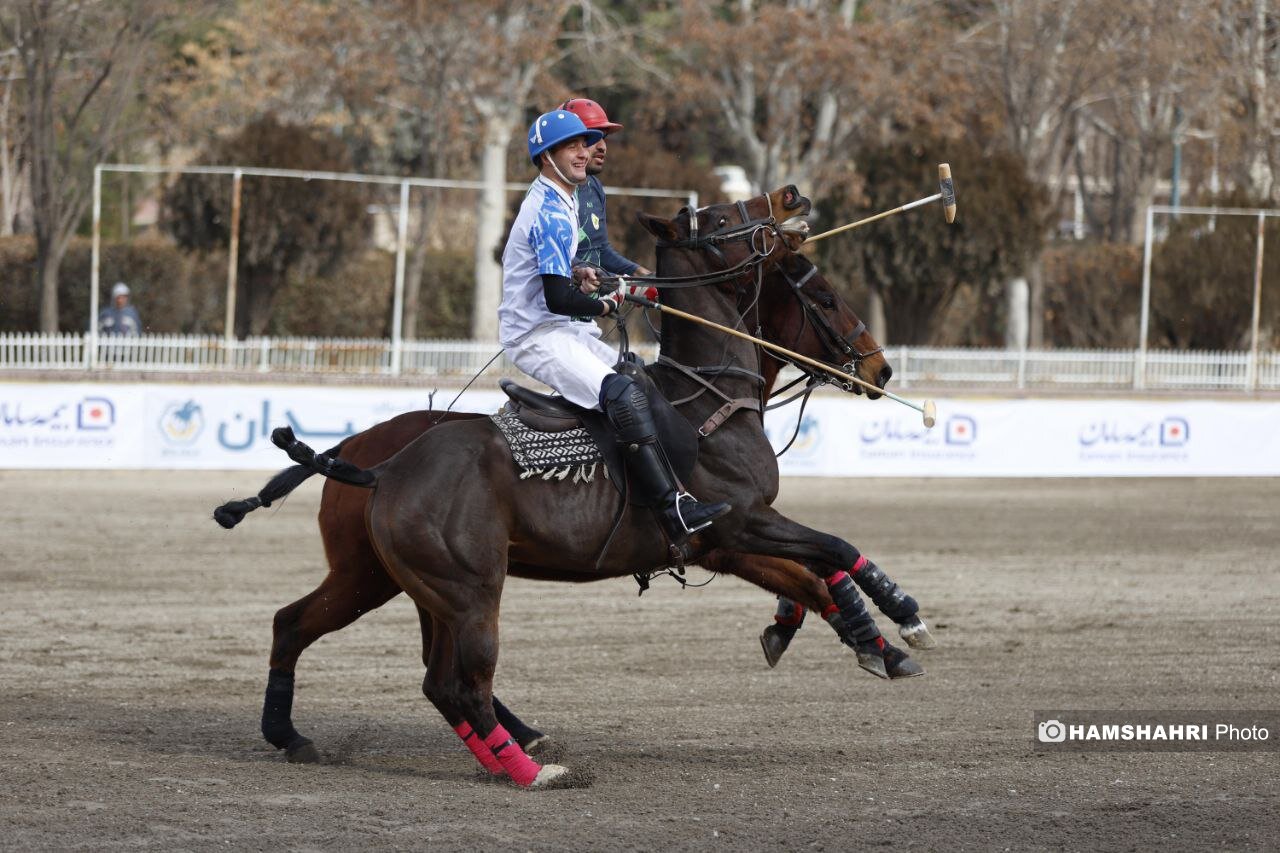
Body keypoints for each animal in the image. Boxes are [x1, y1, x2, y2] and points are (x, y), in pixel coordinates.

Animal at [241, 189, 931, 788]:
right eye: (825, 298)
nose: (880, 368)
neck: (708, 397)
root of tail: (374, 463)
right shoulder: (736, 521)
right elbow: (836, 549)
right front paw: (903, 618)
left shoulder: (725, 541)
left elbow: (812, 576)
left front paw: (864, 642)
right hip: (460, 587)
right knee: (449, 680)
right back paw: (527, 767)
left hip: (394, 580)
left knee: (319, 632)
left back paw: (302, 736)